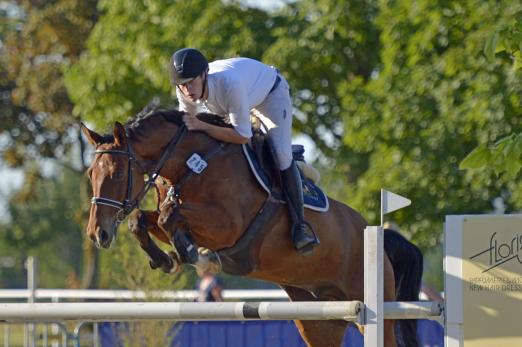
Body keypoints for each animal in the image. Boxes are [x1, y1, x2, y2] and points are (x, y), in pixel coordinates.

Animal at [81, 106, 422, 347]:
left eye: (117, 173)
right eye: (90, 174)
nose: (98, 234)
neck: (193, 163)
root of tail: (377, 235)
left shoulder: (228, 225)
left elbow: (169, 215)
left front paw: (194, 255)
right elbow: (144, 219)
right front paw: (166, 259)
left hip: (371, 312)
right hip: (318, 319)